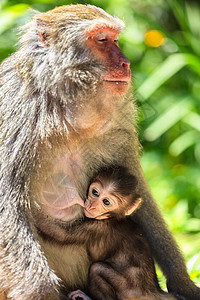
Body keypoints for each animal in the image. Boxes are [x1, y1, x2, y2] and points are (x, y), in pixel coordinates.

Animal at [67, 166, 175, 300]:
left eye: (106, 202)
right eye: (95, 192)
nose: (92, 206)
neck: (113, 218)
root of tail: (153, 290)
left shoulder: (97, 227)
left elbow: (61, 233)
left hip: (128, 290)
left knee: (96, 269)